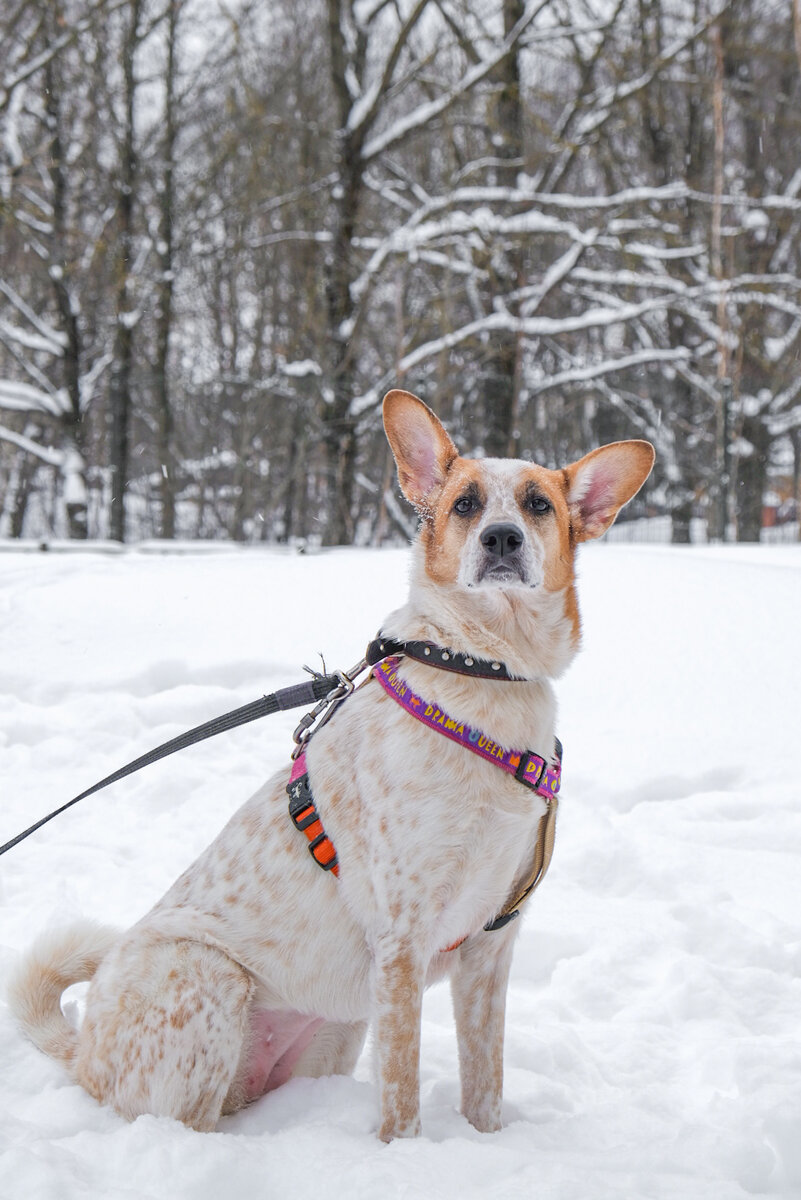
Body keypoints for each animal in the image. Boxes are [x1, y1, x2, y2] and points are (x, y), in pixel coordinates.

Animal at [9, 388, 652, 1137]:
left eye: (537, 504)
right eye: (466, 503)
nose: (501, 539)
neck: (485, 674)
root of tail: (81, 1053)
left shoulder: (490, 950)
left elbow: (484, 1088)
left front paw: (484, 1146)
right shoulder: (402, 941)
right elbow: (401, 1099)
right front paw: (406, 1155)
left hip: (337, 1032)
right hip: (207, 978)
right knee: (179, 1121)